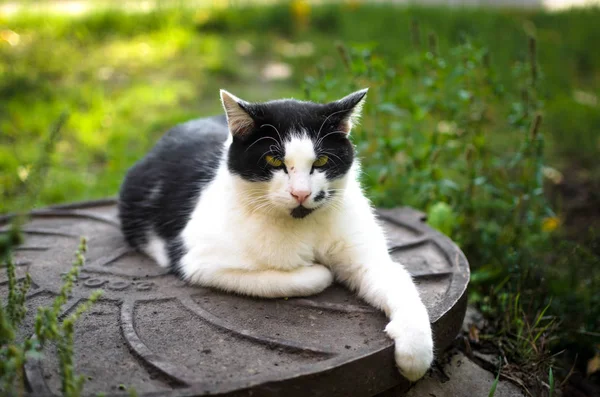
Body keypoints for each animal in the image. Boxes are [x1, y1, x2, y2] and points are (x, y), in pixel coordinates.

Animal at [117, 89, 434, 380]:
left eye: (321, 162)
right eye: (273, 160)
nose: (301, 193)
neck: (304, 226)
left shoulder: (369, 258)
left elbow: (400, 284)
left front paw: (415, 351)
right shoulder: (199, 262)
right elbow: (291, 279)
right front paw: (319, 270)